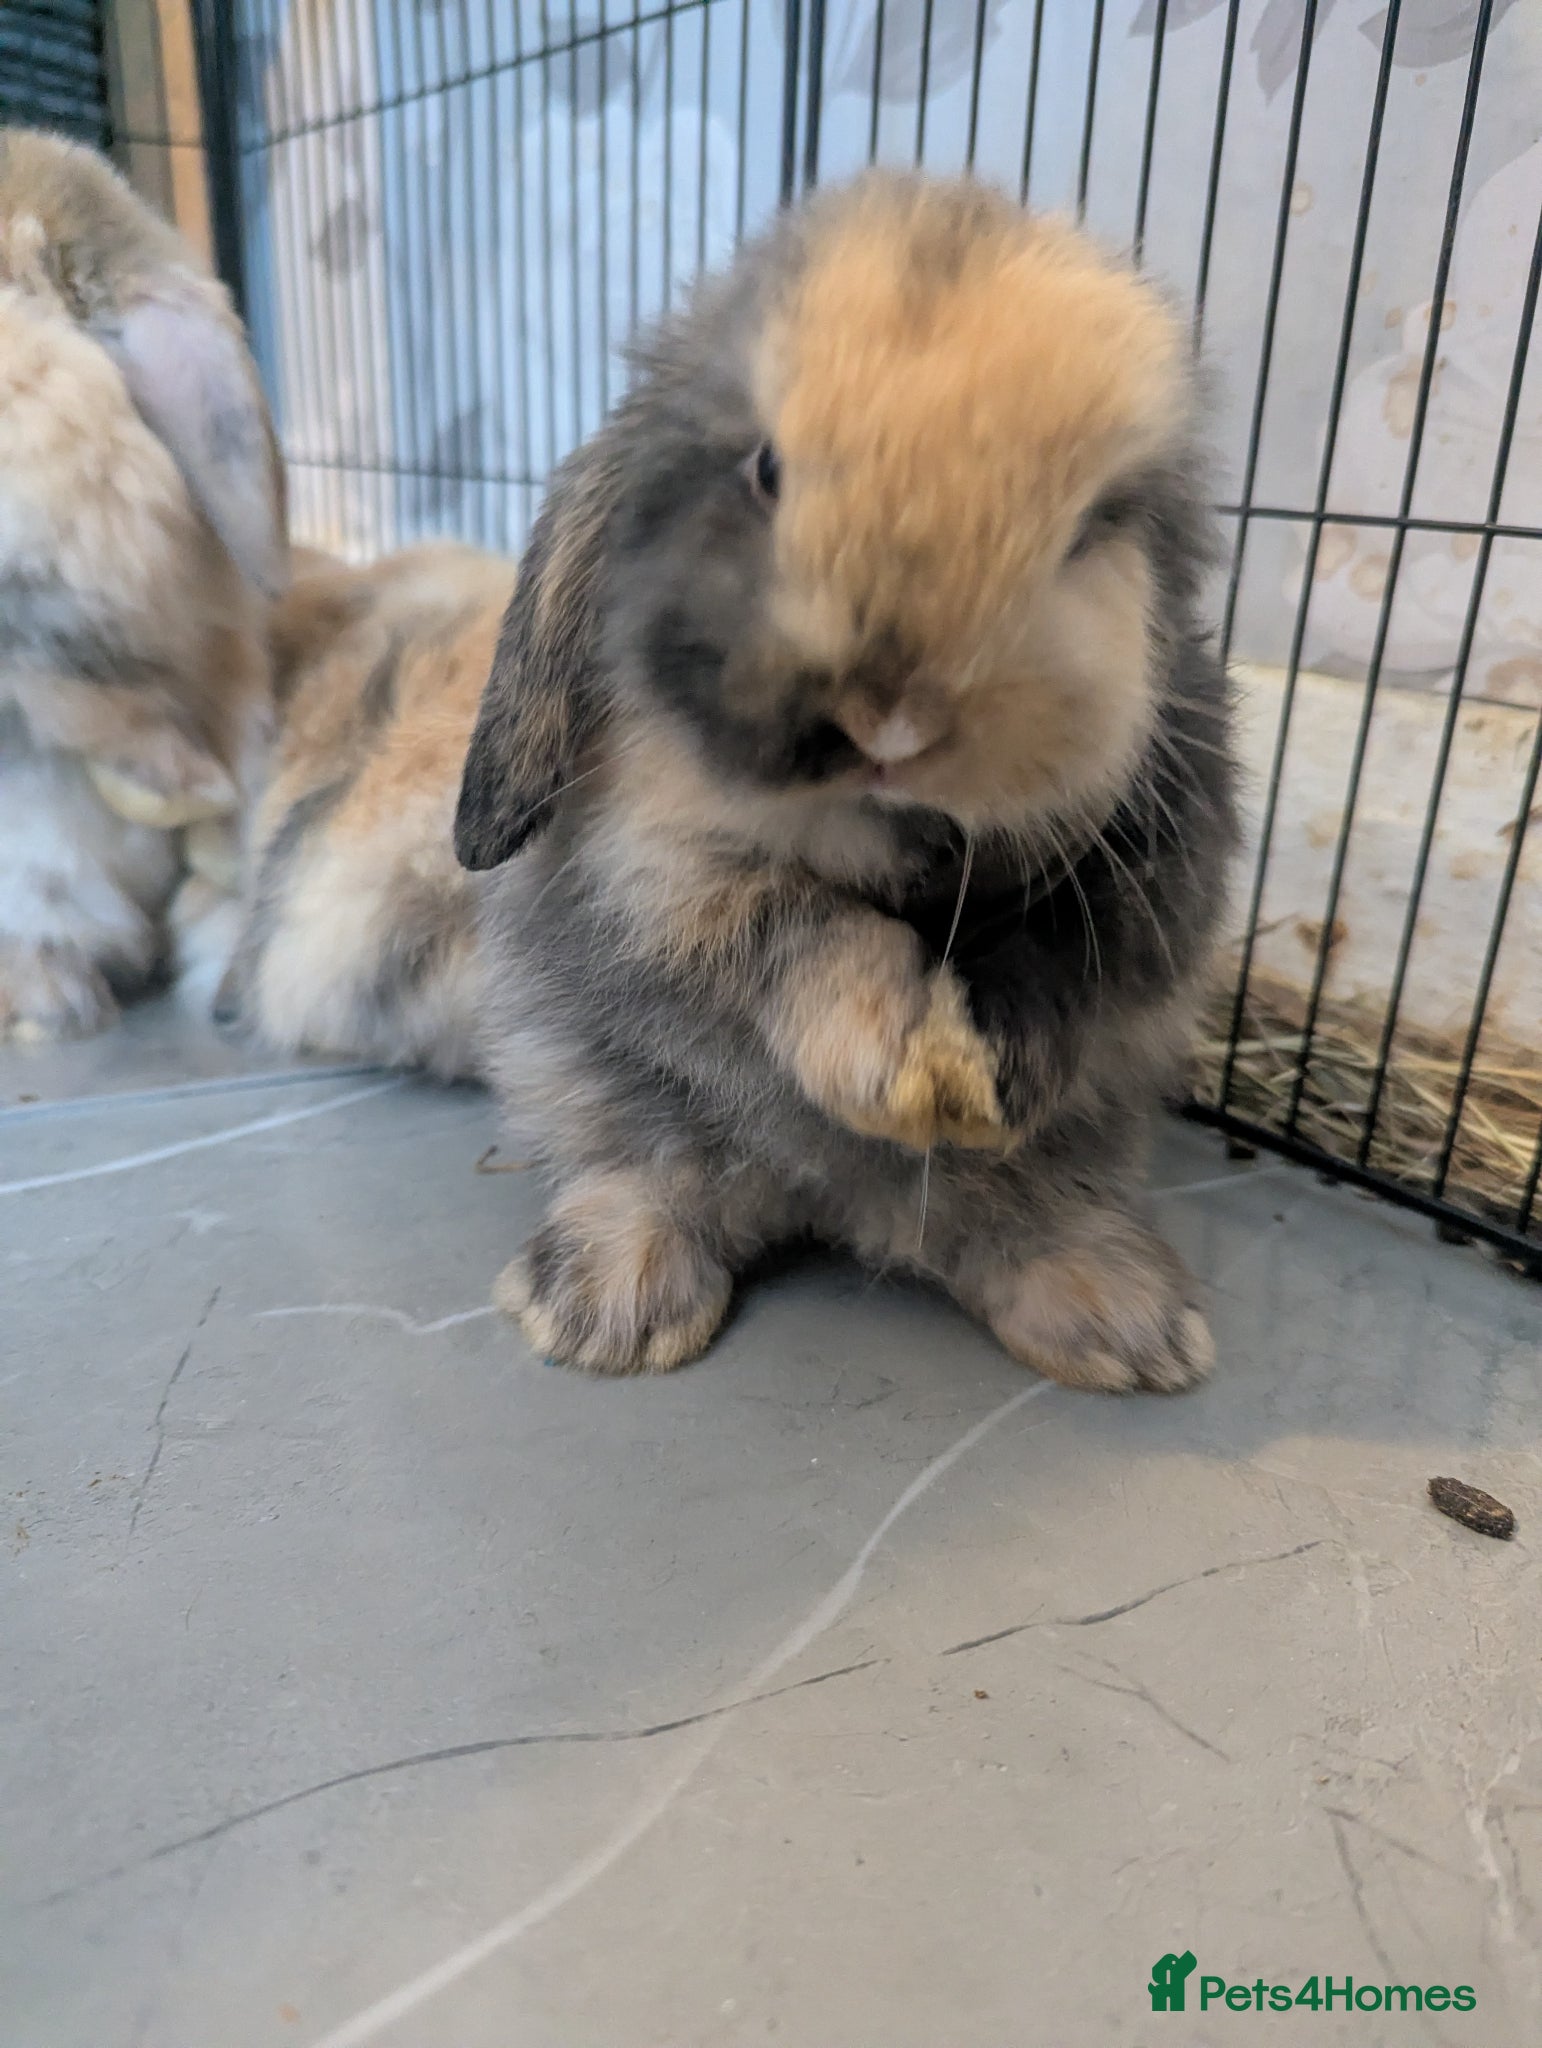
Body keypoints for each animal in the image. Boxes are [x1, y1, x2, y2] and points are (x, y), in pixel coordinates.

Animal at [455, 172, 1238, 1393]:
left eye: (1094, 525)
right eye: (766, 470)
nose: (892, 717)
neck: (887, 834)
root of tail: (827, 1208)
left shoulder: (1145, 871)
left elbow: (1061, 960)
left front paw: (989, 1080)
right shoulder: (662, 870)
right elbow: (801, 929)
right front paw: (894, 1063)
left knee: (1025, 1211)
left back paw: (1127, 1324)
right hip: (582, 1069)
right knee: (645, 1172)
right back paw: (609, 1305)